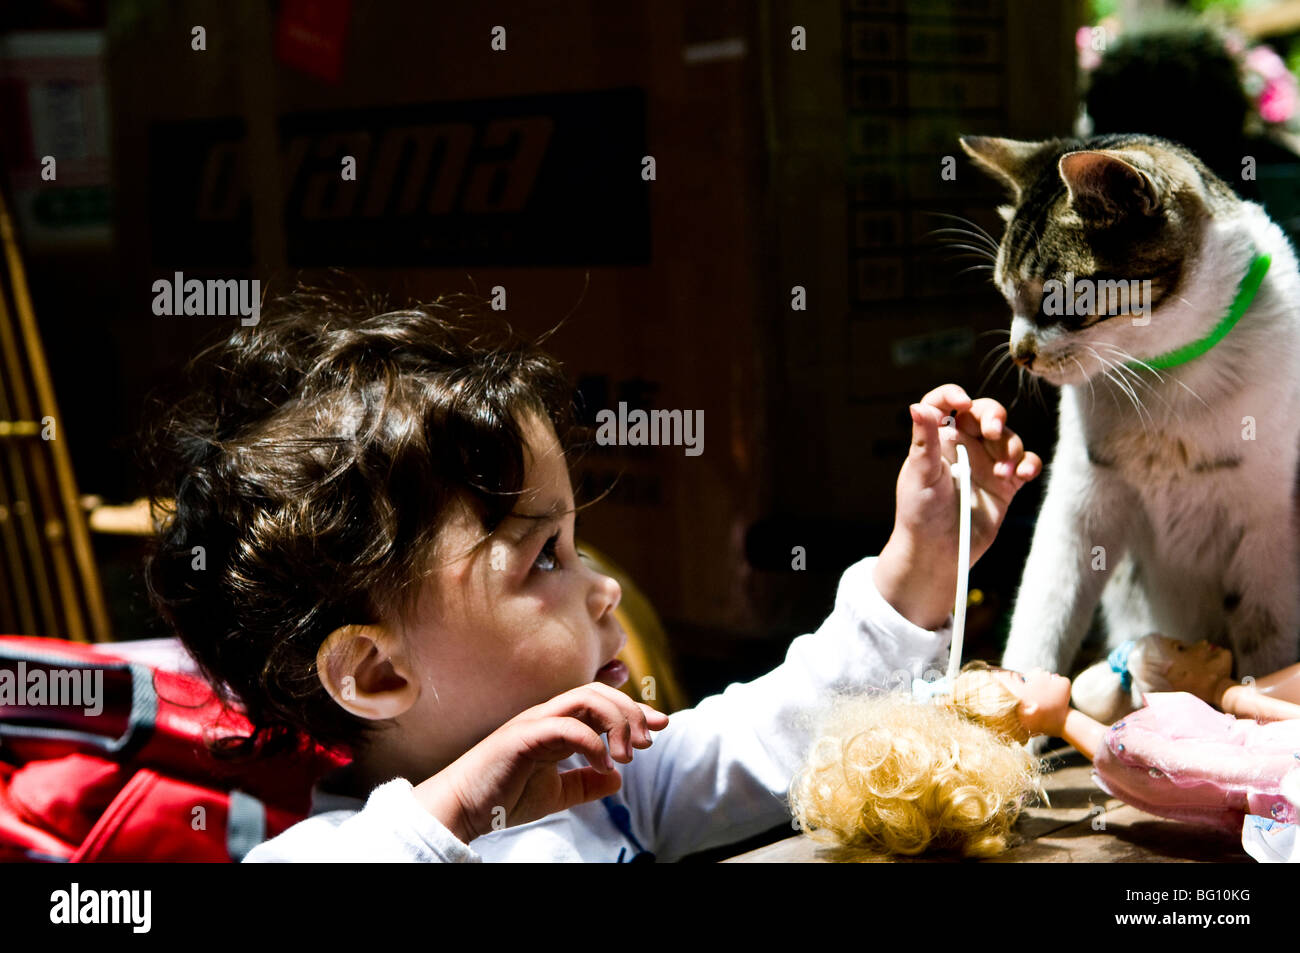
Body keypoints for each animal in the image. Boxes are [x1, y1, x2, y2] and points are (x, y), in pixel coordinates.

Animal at [956, 130, 1300, 686]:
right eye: (1006, 296)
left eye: (1059, 301)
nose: (1018, 354)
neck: (1164, 374)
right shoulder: (1078, 505)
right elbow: (1042, 616)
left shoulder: (1266, 529)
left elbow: (1265, 644)